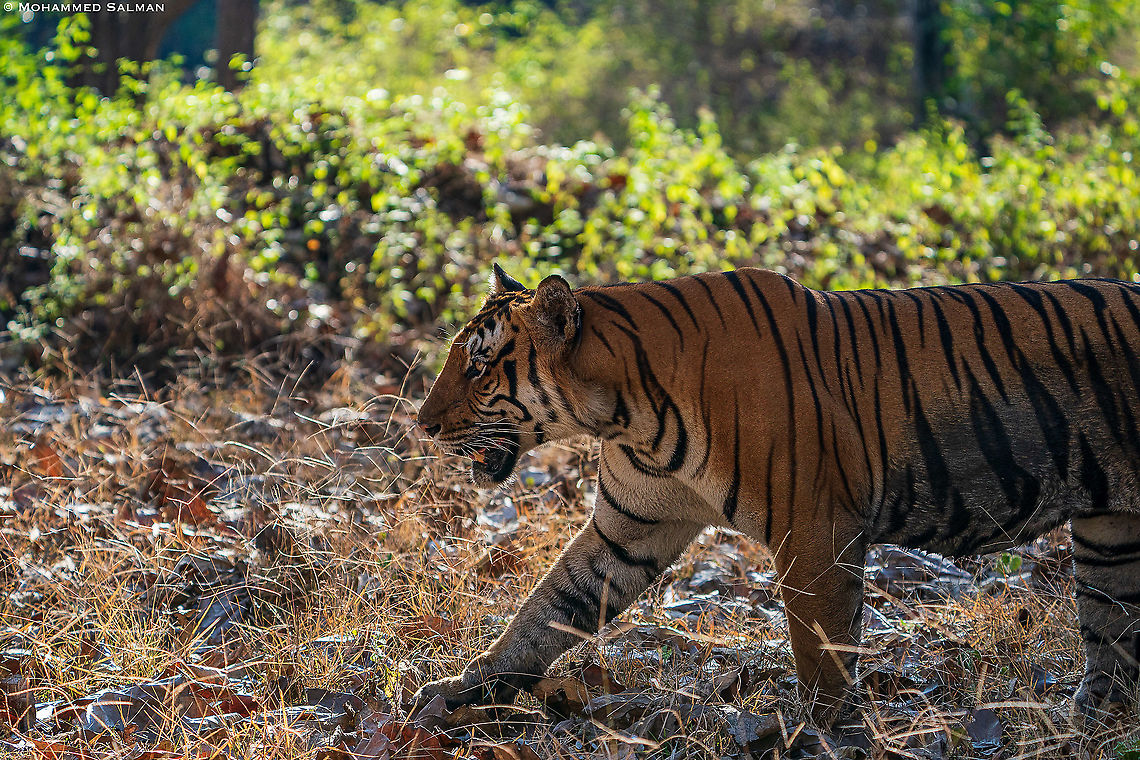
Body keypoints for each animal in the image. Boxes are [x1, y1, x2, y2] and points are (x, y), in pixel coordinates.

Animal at [413, 263, 1140, 727]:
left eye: (479, 365)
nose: (422, 423)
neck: (624, 411)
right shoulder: (629, 529)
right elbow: (545, 610)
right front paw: (460, 690)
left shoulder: (815, 531)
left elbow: (820, 651)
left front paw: (819, 733)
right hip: (1112, 534)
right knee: (1112, 636)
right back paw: (1088, 721)